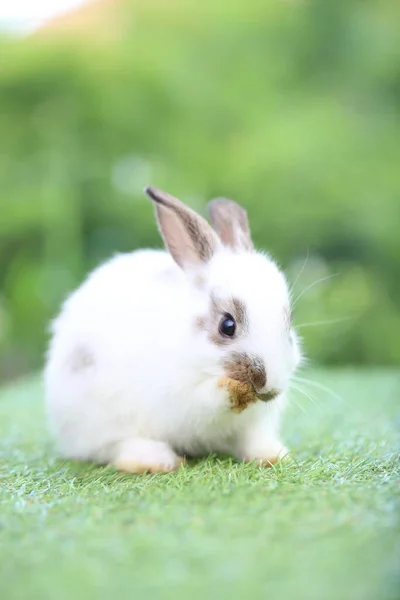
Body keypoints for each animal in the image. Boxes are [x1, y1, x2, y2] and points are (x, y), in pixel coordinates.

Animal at [44, 188, 300, 474]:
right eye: (227, 326)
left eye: (288, 327)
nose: (270, 386)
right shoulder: (183, 396)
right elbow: (206, 399)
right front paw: (227, 389)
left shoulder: (253, 425)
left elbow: (252, 439)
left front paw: (273, 456)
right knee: (118, 447)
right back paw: (156, 461)